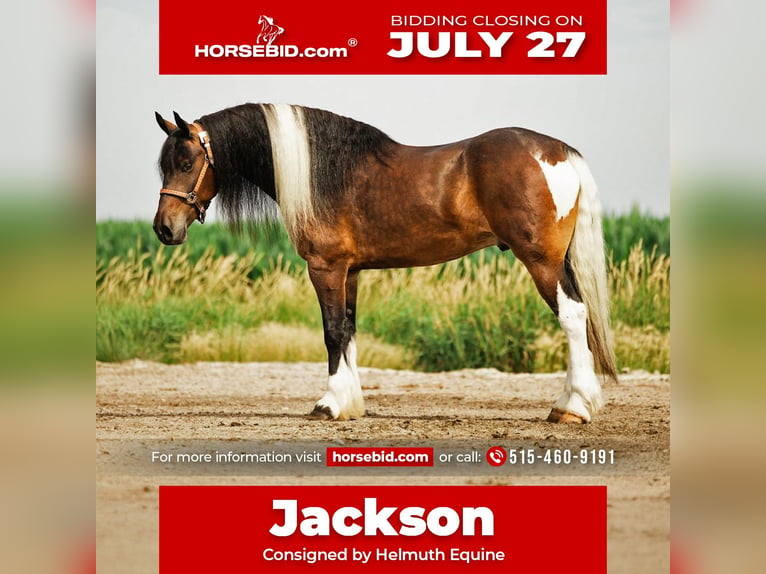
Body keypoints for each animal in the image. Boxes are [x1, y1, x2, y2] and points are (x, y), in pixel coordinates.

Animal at [153, 104, 618, 424]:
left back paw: (574, 407)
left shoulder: (325, 267)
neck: (323, 173)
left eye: (186, 163)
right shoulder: (351, 271)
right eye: (164, 164)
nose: (164, 228)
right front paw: (351, 403)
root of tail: (557, 151)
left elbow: (332, 332)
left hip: (540, 260)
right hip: (560, 261)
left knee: (572, 316)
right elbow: (350, 331)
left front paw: (328, 404)